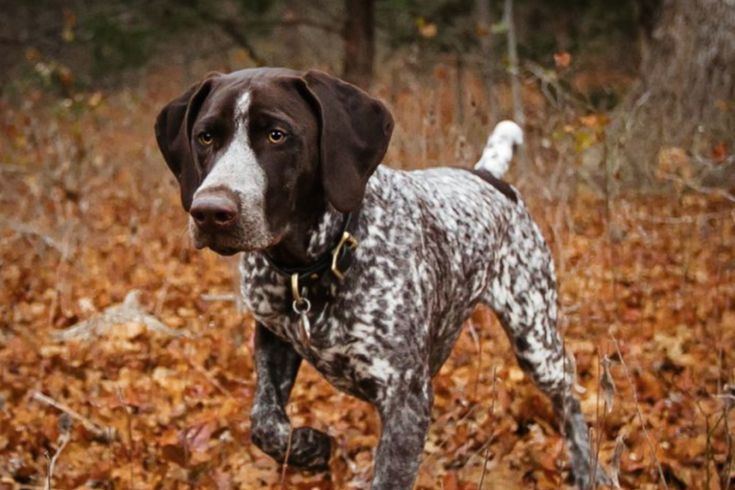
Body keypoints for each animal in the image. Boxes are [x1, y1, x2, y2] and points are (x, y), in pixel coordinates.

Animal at [155, 67, 608, 488]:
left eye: (277, 135)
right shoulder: (274, 337)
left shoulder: (405, 396)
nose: (210, 211)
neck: (314, 264)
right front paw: (310, 448)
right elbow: (264, 422)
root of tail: (487, 176)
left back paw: (589, 470)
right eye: (206, 136)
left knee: (569, 403)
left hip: (536, 339)